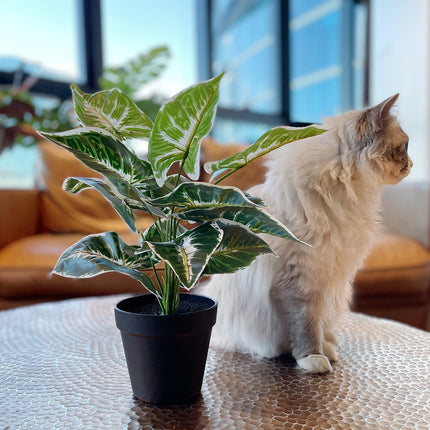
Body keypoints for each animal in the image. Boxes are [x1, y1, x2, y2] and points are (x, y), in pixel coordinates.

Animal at [202, 94, 414, 372]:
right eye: (404, 147)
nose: (412, 165)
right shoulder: (301, 280)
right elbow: (306, 325)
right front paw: (313, 358)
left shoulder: (328, 279)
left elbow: (319, 323)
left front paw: (326, 351)